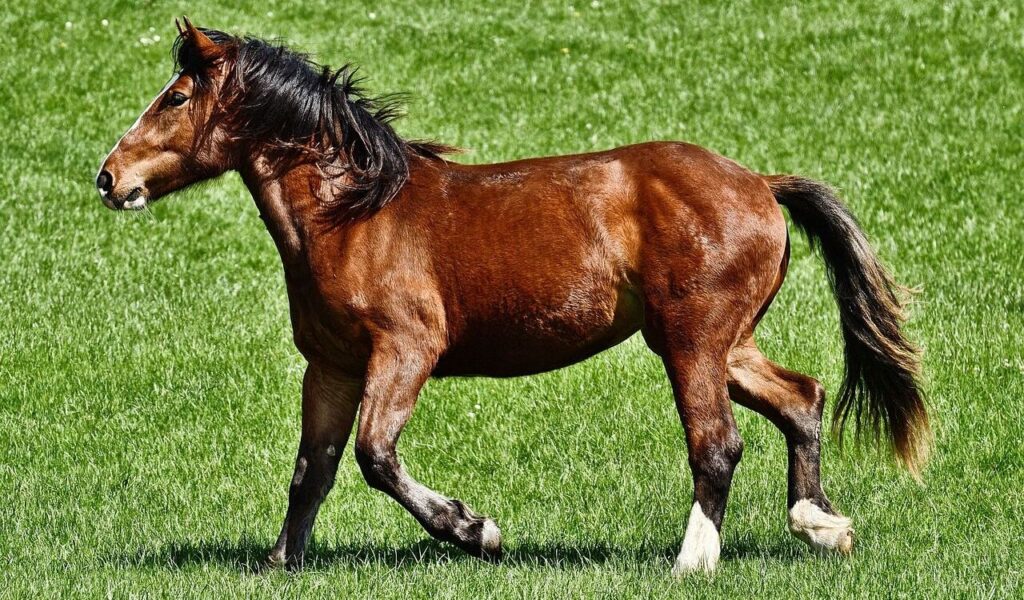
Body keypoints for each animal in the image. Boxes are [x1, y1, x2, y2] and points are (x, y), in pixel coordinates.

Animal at [96, 19, 929, 575]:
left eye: (175, 98)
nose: (109, 178)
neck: (354, 215)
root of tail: (759, 182)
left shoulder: (405, 351)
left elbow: (375, 456)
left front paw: (477, 530)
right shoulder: (330, 366)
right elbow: (315, 468)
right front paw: (279, 561)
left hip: (692, 339)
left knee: (718, 443)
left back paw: (692, 561)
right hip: (723, 341)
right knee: (803, 398)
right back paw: (822, 526)